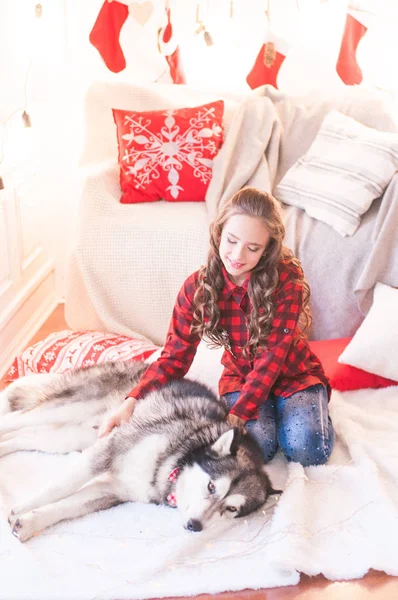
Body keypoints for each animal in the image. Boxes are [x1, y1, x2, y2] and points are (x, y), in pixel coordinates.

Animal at [0, 360, 280, 544]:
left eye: (231, 509)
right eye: (212, 487)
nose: (195, 526)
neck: (175, 461)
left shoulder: (113, 489)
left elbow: (66, 507)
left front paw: (29, 522)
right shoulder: (108, 451)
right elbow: (59, 488)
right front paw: (21, 508)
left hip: (69, 437)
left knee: (23, 436)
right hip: (68, 411)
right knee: (15, 420)